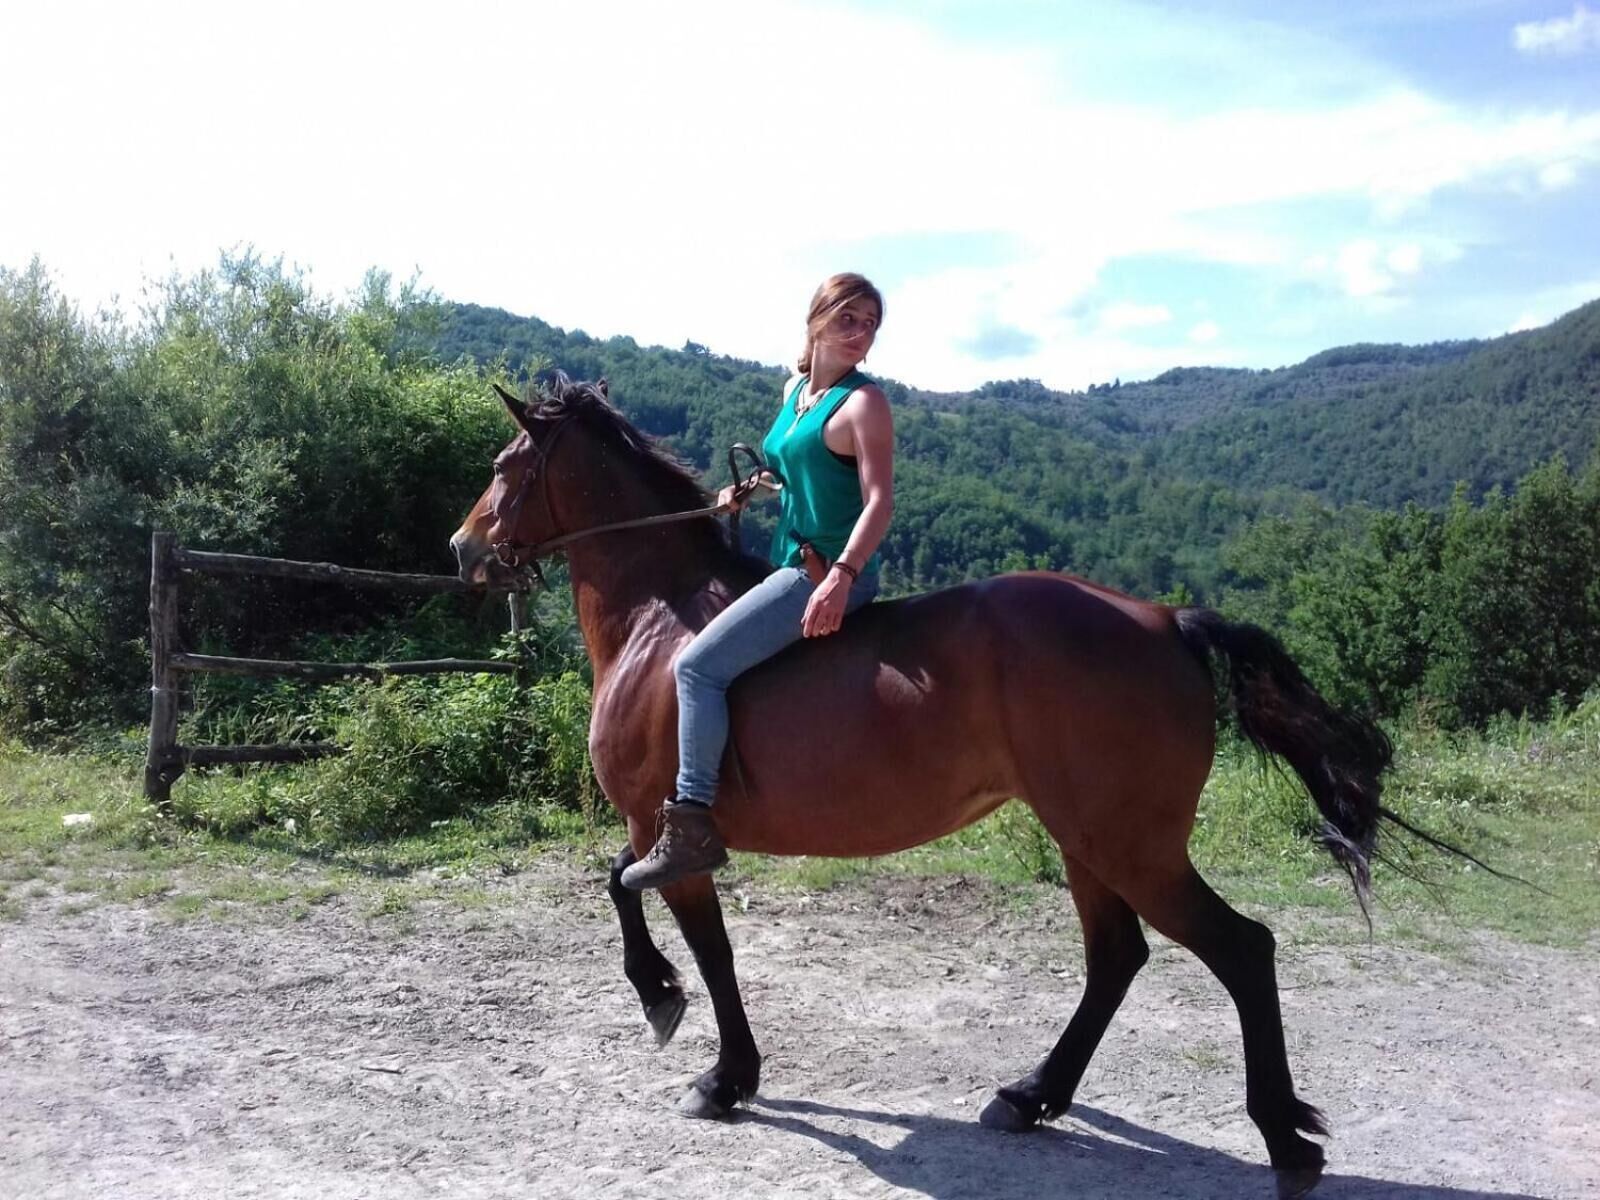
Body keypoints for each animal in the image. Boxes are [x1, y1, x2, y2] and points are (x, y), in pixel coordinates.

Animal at [450, 374, 1397, 1199]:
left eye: (501, 465)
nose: (464, 549)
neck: (660, 619)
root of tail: (1166, 621)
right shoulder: (663, 832)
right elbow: (624, 887)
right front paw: (684, 1021)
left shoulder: (666, 832)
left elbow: (691, 938)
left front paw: (703, 1052)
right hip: (1088, 839)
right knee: (1116, 957)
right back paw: (1031, 1096)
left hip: (1131, 845)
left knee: (1241, 950)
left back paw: (1285, 1142)